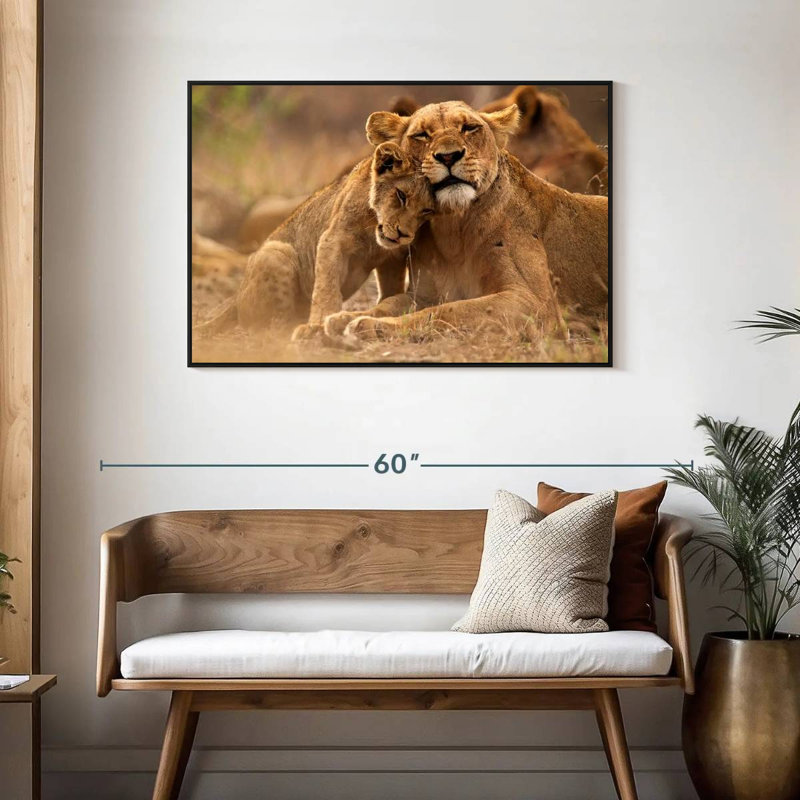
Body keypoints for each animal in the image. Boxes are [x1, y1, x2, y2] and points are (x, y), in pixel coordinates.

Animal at [193, 142, 434, 339]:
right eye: (401, 195)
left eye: (426, 211)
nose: (404, 234)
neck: (373, 230)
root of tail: (235, 299)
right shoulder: (332, 241)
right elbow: (326, 288)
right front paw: (317, 325)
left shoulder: (392, 257)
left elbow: (391, 289)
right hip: (275, 252)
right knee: (269, 326)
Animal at [324, 100, 607, 342]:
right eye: (422, 135)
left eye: (469, 128)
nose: (449, 156)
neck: (453, 228)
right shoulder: (424, 294)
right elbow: (389, 303)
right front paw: (344, 318)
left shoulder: (536, 304)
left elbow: (450, 310)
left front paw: (371, 326)